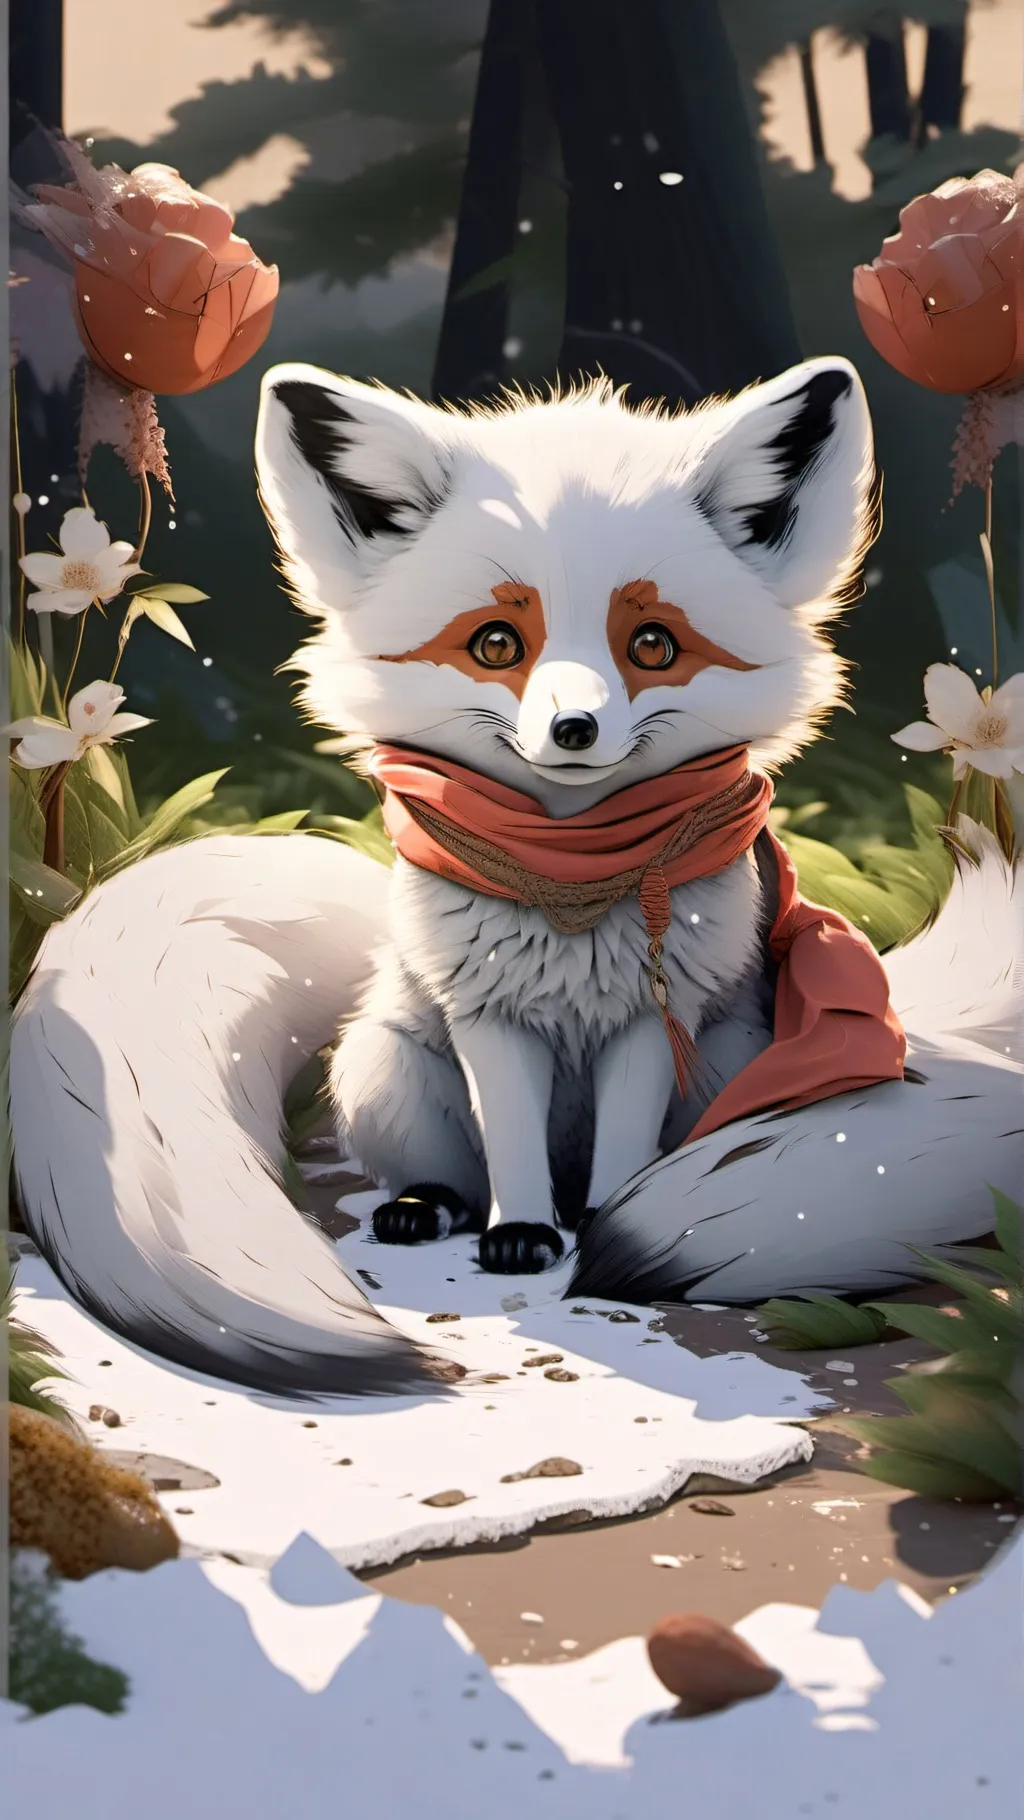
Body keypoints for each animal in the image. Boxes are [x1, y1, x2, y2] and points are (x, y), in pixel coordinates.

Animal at [11, 355, 1024, 1397]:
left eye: (652, 644)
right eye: (497, 642)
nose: (574, 730)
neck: (571, 880)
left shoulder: (648, 1024)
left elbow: (623, 1154)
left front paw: (604, 1219)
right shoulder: (489, 1019)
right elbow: (510, 1149)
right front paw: (524, 1234)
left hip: (727, 1067)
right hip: (388, 1071)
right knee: (448, 1175)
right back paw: (426, 1209)